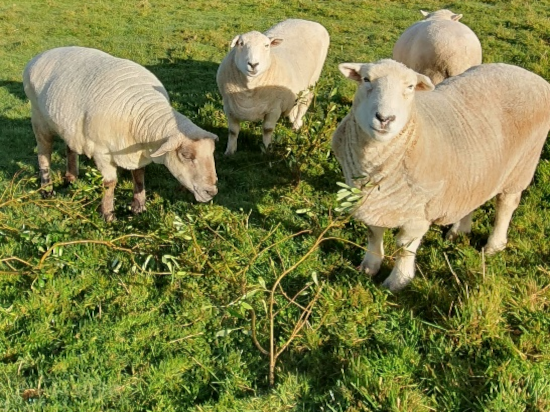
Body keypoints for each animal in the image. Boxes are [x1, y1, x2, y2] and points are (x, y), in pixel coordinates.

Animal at [23, 46, 219, 220]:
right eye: (186, 155)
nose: (211, 192)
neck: (141, 115)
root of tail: (41, 55)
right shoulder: (101, 152)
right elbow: (110, 183)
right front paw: (107, 214)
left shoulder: (137, 151)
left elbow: (139, 175)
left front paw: (139, 207)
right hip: (39, 118)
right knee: (44, 153)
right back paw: (47, 189)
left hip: (68, 125)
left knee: (70, 147)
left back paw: (71, 177)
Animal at [217, 18, 330, 155]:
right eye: (241, 43)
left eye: (266, 45)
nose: (253, 64)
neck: (249, 88)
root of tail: (308, 21)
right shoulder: (229, 107)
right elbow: (232, 132)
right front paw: (229, 152)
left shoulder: (274, 108)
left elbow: (267, 130)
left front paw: (266, 151)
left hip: (313, 80)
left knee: (304, 103)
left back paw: (296, 124)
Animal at [332, 59, 550, 292]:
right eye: (366, 79)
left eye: (410, 87)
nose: (385, 118)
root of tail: (527, 73)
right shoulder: (372, 201)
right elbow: (373, 233)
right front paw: (369, 266)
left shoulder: (419, 210)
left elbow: (404, 246)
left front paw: (398, 280)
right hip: (474, 170)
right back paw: (459, 231)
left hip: (522, 165)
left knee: (506, 205)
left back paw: (494, 245)